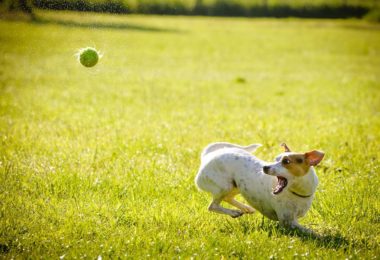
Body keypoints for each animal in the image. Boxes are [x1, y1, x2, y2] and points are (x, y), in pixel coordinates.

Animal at [196, 142, 324, 232]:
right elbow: (310, 231)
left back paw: (246, 208)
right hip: (224, 186)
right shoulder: (288, 222)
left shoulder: (293, 220)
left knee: (228, 198)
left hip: (236, 186)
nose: (265, 167)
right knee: (212, 206)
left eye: (286, 161)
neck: (297, 192)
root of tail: (208, 156)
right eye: (275, 159)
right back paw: (234, 212)